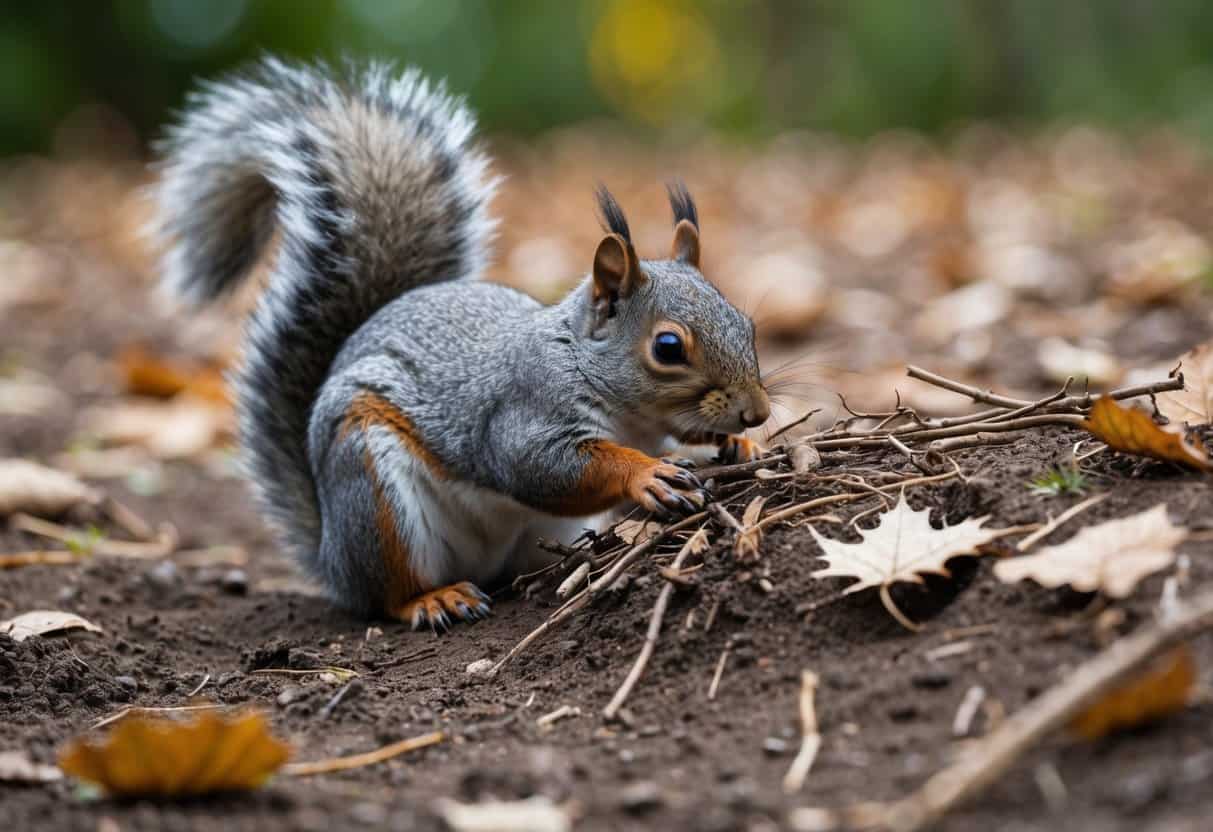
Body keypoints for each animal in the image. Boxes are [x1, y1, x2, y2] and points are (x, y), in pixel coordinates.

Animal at [152, 58, 770, 630]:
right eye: (667, 347)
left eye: (746, 324)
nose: (757, 413)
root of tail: (330, 557)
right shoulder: (526, 410)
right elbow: (544, 467)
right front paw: (647, 473)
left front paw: (738, 446)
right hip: (371, 489)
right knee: (388, 593)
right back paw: (434, 599)